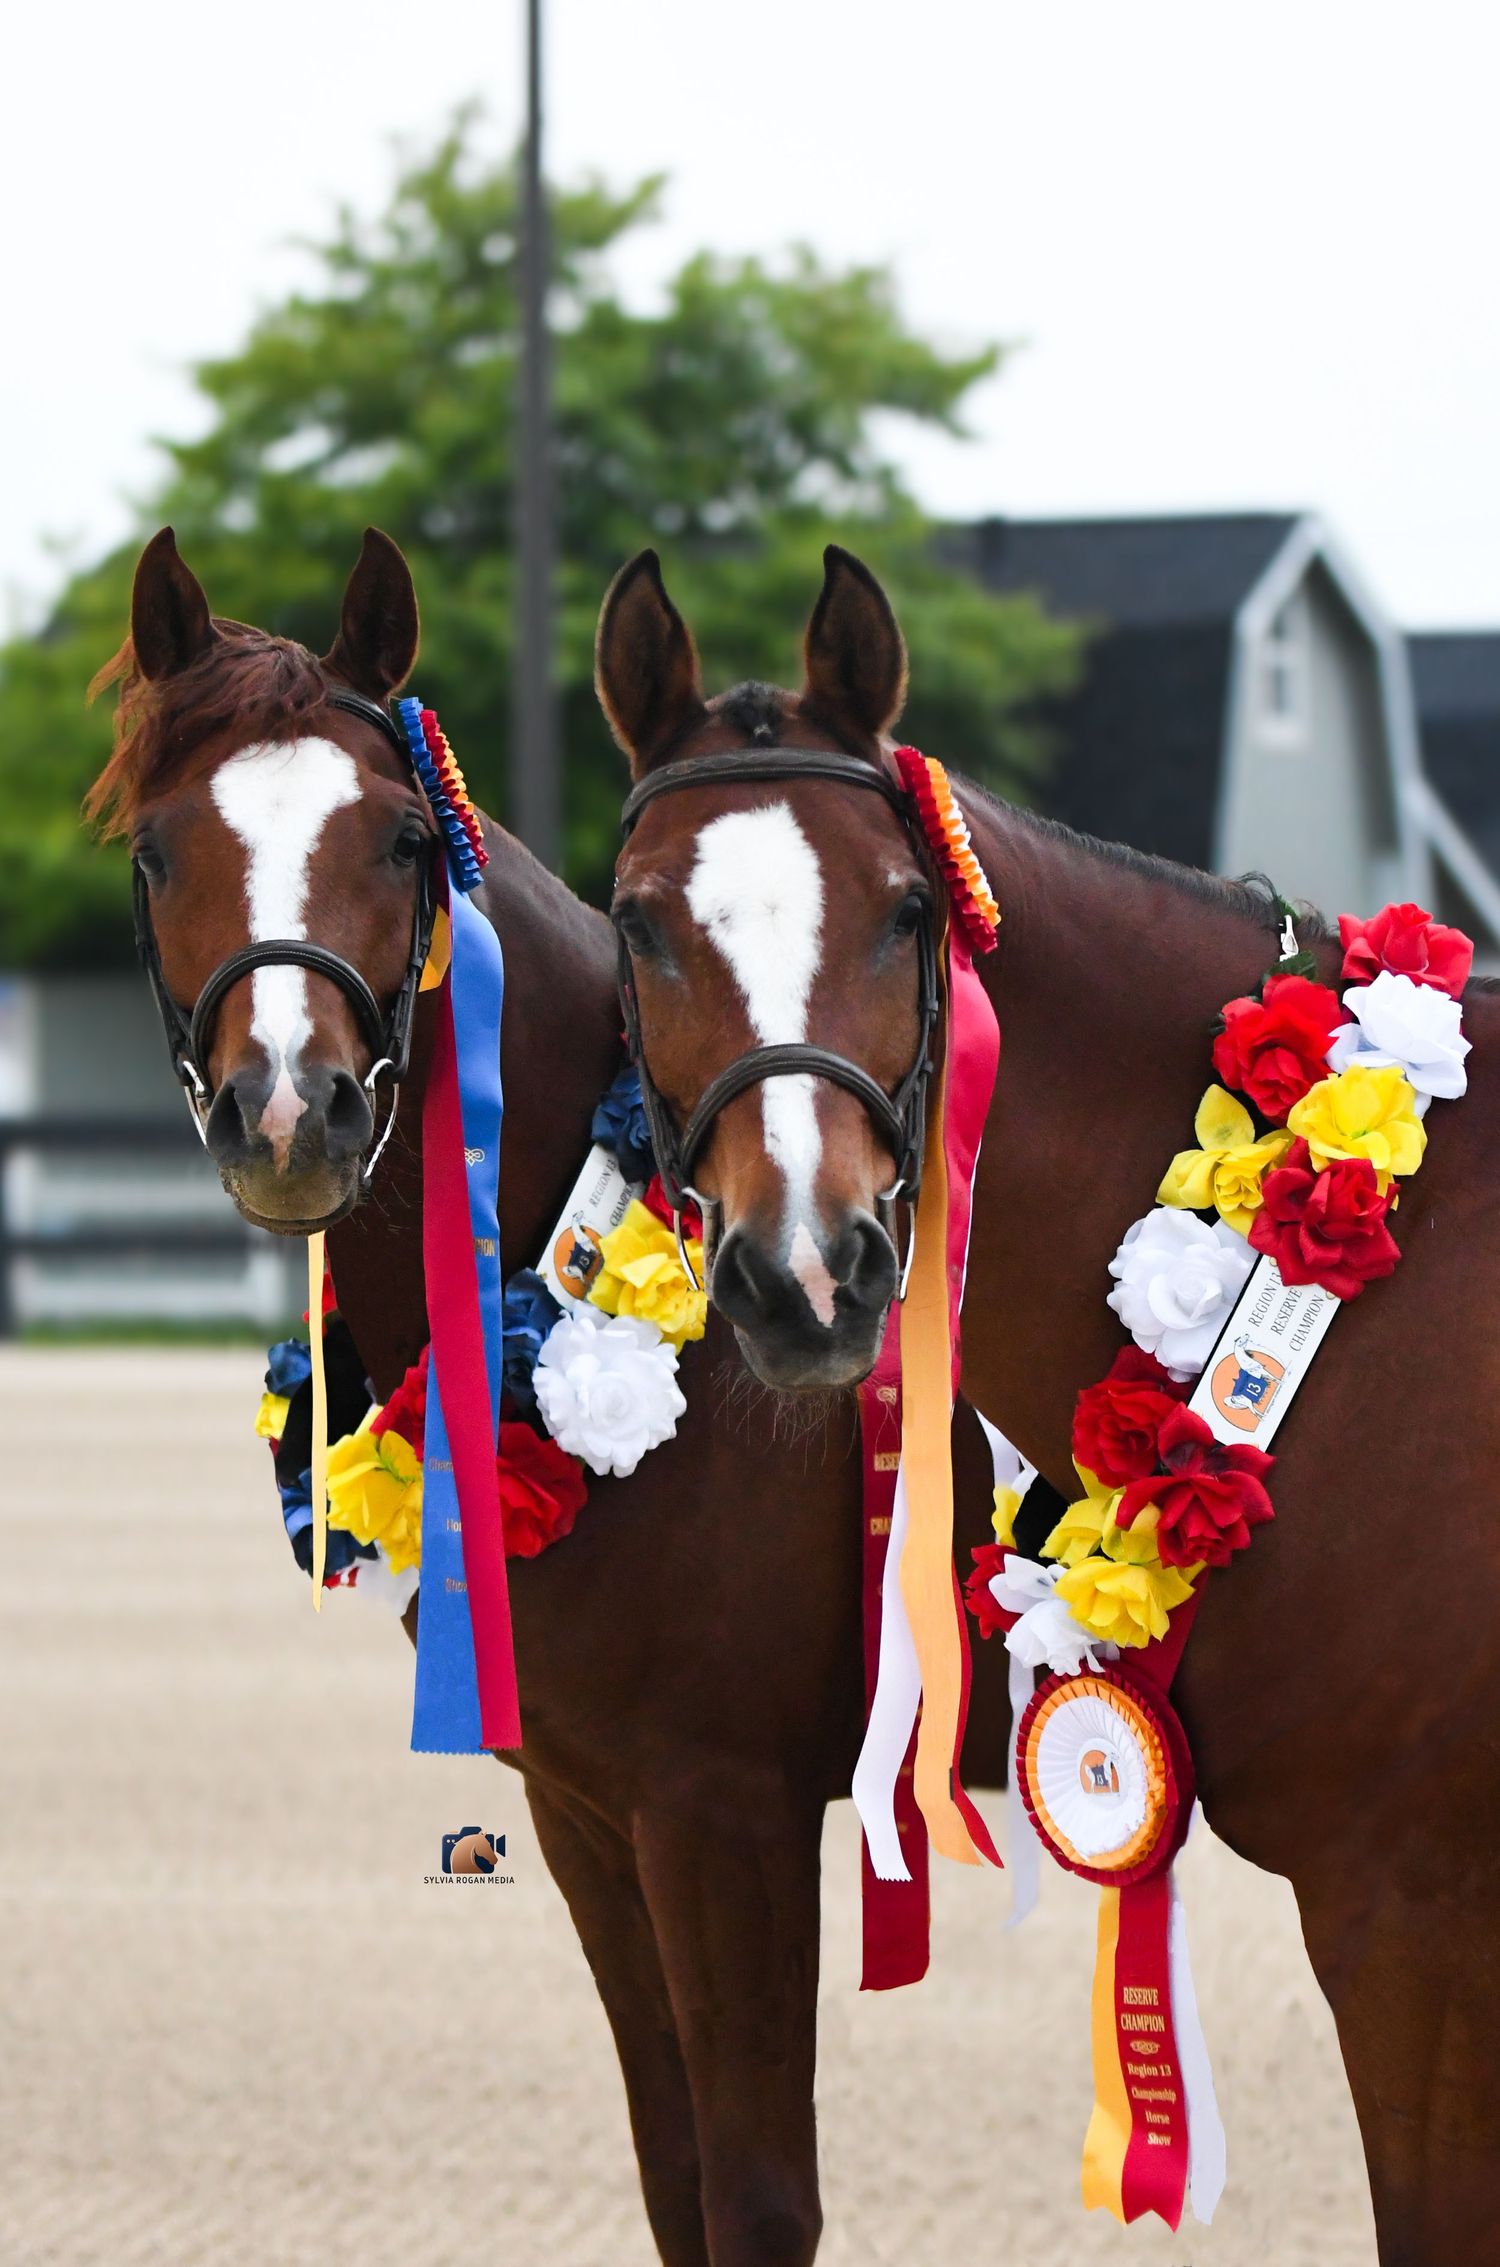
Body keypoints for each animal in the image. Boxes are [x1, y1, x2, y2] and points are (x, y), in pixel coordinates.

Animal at [88, 525, 1009, 2267]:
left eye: (396, 838)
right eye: (163, 850)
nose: (291, 1108)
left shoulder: (724, 1808)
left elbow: (759, 2196)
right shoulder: (595, 1809)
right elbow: (677, 2178)